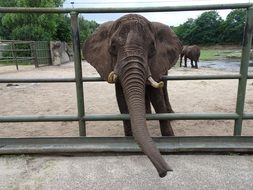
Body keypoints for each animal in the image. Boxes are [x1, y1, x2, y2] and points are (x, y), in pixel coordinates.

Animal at [83, 13, 182, 178]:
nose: (165, 172)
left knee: (164, 87)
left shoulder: (155, 63)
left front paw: (170, 139)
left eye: (152, 47)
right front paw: (128, 139)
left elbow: (157, 98)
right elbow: (121, 100)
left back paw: (170, 113)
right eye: (113, 47)